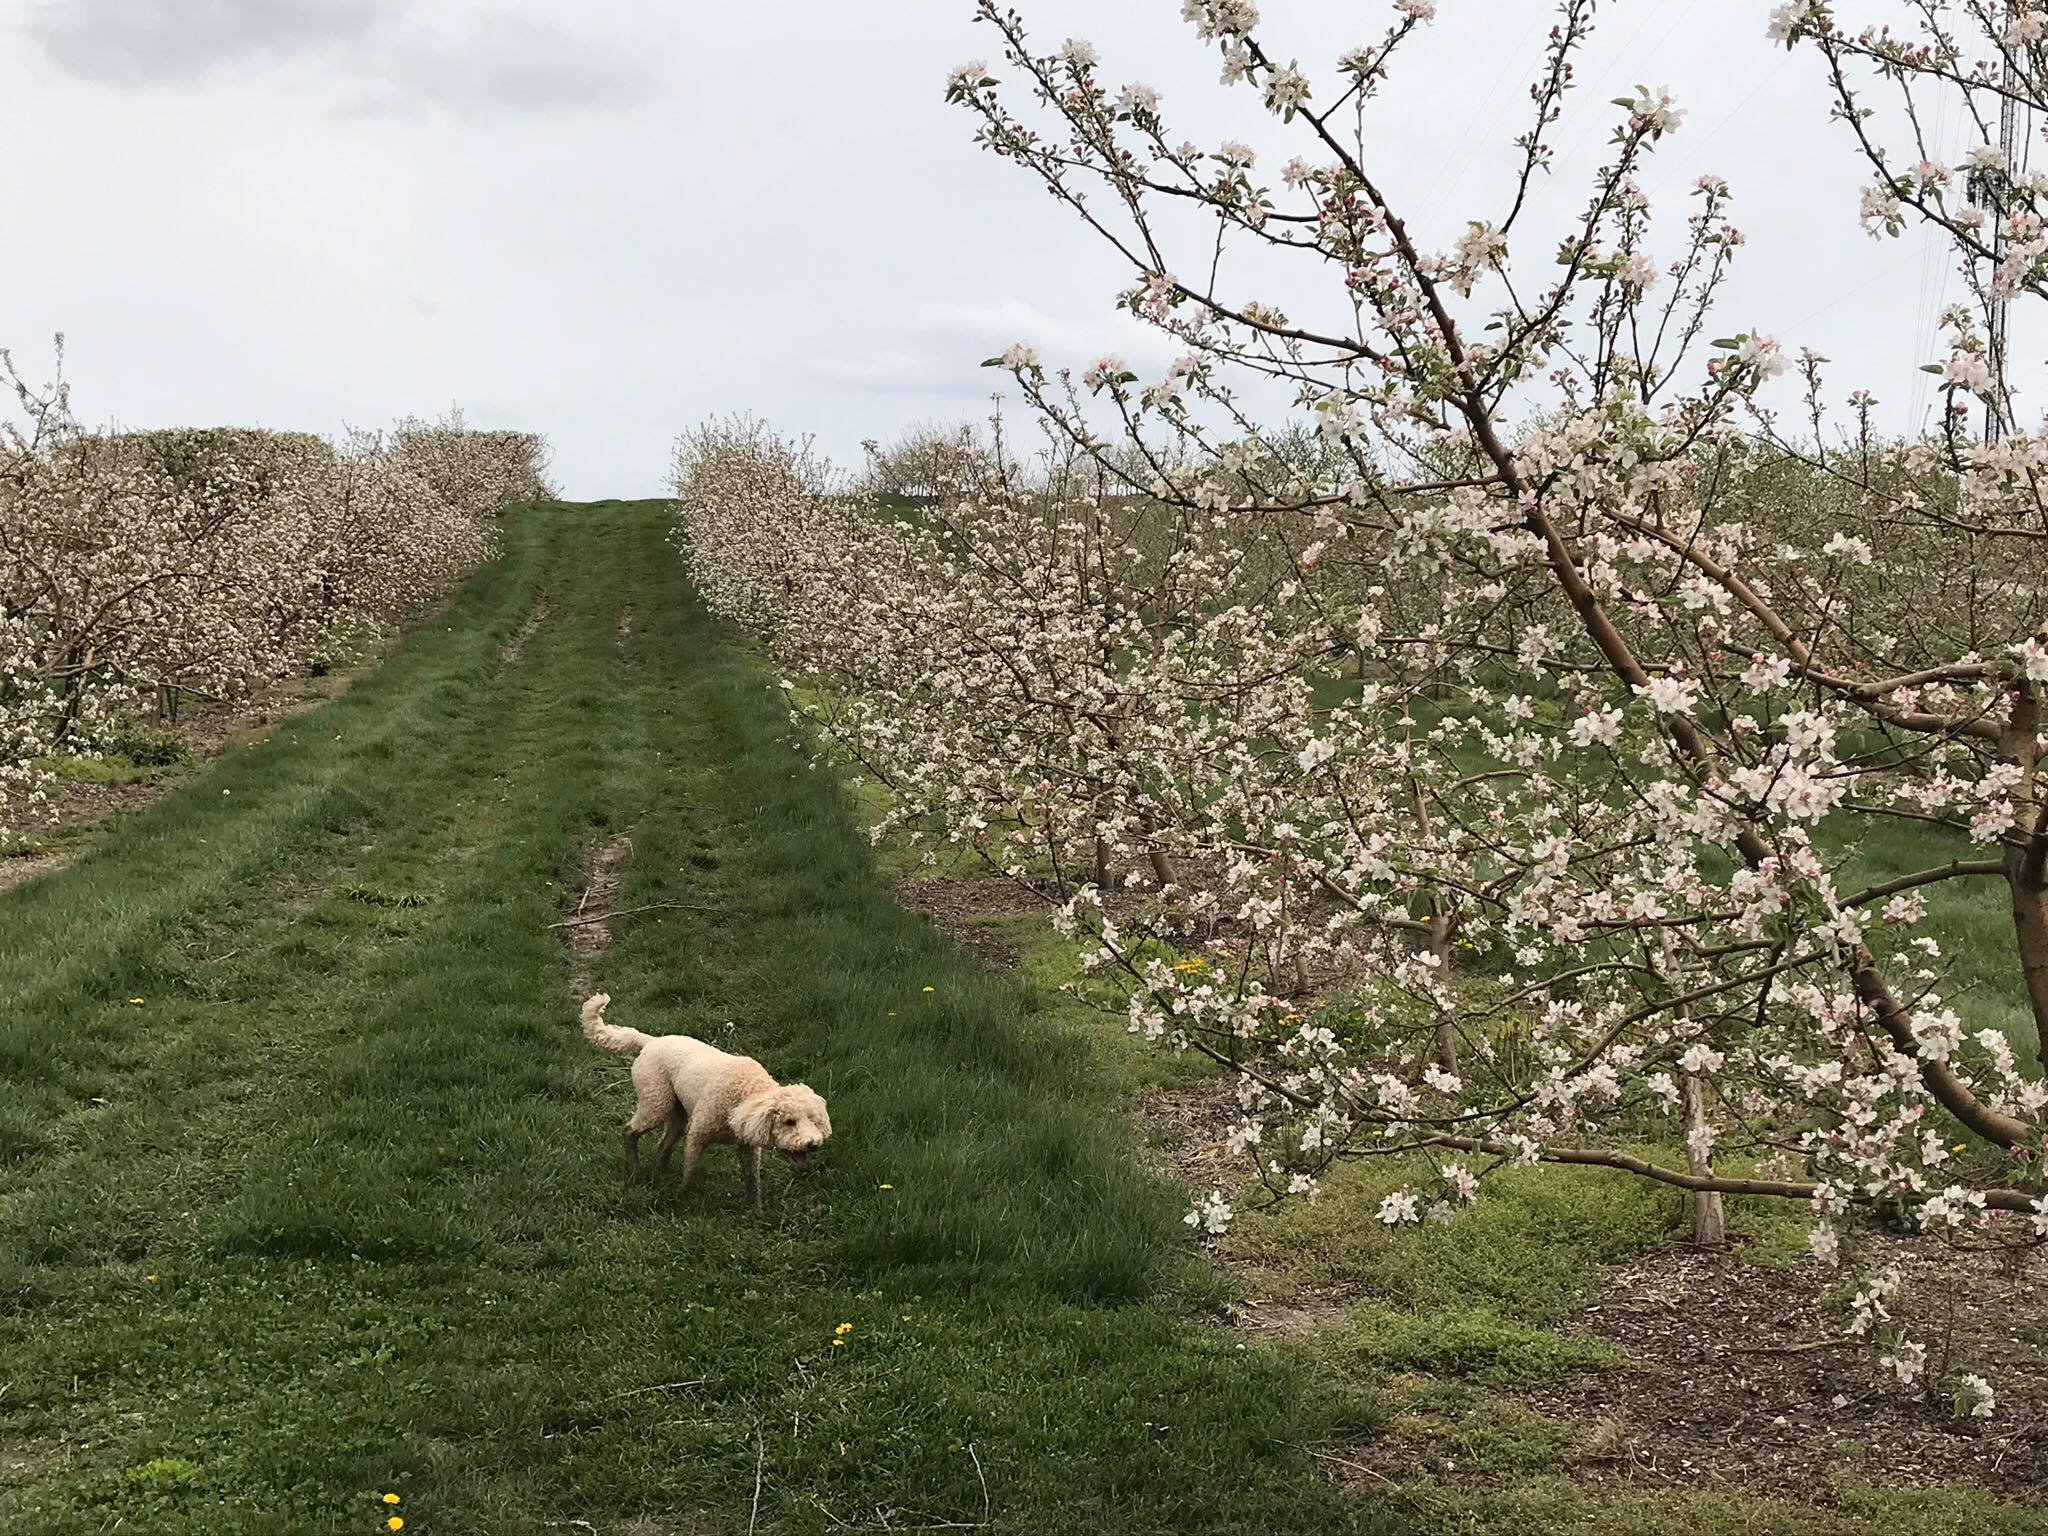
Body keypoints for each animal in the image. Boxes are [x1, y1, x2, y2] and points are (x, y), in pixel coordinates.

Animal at [577, 991, 831, 1212]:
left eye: (814, 1121)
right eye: (789, 1122)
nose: (813, 1144)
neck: (746, 1090)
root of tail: (650, 1041)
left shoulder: (747, 1146)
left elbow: (752, 1179)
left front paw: (756, 1213)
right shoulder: (698, 1133)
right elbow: (690, 1169)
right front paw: (680, 1196)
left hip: (677, 1112)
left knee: (663, 1145)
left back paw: (660, 1173)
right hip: (656, 1101)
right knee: (630, 1131)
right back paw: (635, 1172)